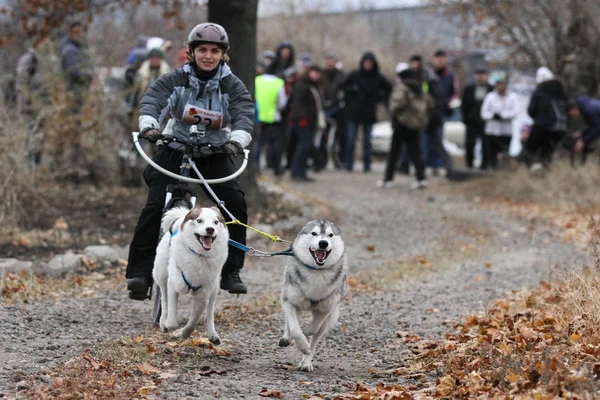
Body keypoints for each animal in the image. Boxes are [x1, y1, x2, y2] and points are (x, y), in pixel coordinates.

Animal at [154, 203, 229, 344]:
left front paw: (181, 333)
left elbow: (192, 324)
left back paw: (212, 334)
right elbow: (172, 322)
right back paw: (163, 321)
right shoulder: (173, 285)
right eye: (199, 220)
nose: (210, 229)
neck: (200, 256)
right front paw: (171, 327)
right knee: (164, 299)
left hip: (214, 288)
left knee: (209, 312)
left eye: (216, 222)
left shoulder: (202, 296)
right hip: (162, 275)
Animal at [278, 219, 350, 372]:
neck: (317, 272)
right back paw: (286, 338)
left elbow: (313, 328)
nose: (323, 243)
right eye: (314, 233)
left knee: (316, 338)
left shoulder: (326, 308)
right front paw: (301, 341)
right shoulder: (289, 301)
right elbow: (294, 329)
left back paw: (306, 362)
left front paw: (305, 336)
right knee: (289, 322)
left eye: (330, 235)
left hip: (329, 319)